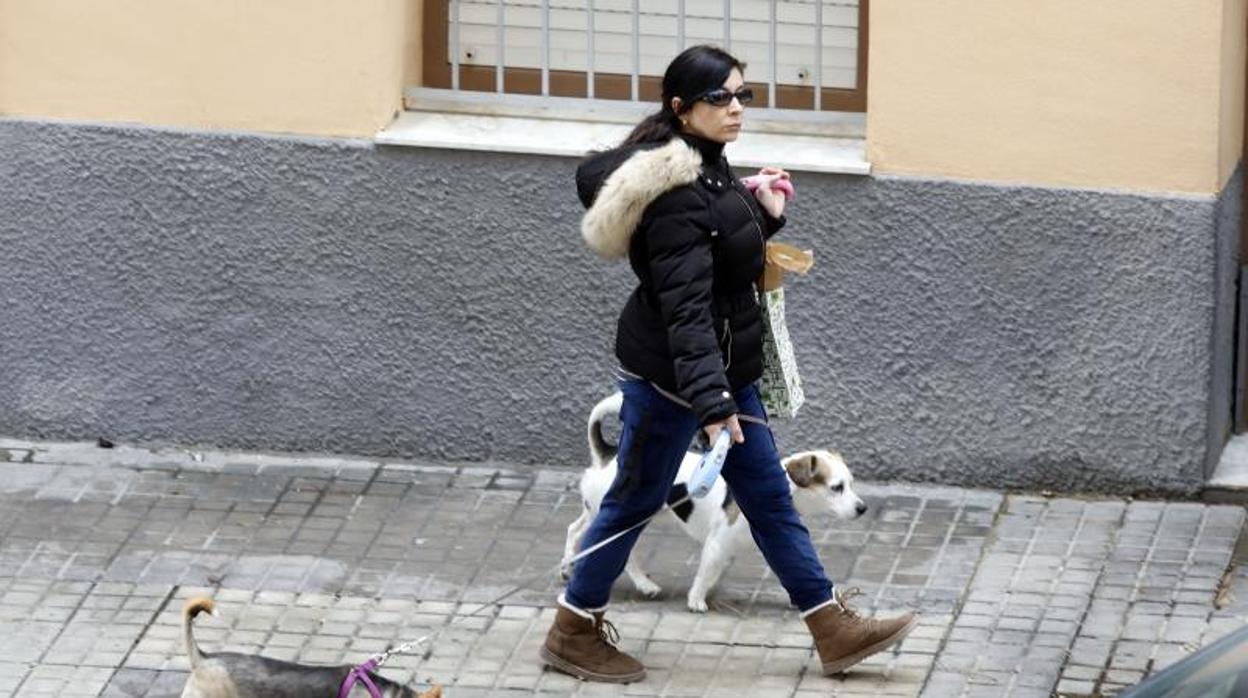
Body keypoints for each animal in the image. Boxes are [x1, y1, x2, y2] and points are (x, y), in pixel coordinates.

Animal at [566, 394, 868, 611]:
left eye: (852, 483)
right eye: (837, 488)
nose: (862, 508)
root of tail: (608, 455)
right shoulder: (717, 543)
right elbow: (706, 573)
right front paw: (697, 599)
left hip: (595, 512)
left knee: (575, 529)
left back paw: (568, 566)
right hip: (626, 517)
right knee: (620, 553)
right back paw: (643, 585)